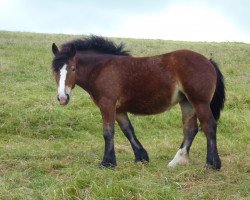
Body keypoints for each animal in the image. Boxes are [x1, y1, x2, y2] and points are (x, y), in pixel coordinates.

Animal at [50, 35, 225, 169]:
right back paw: (177, 161)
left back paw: (212, 164)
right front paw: (141, 157)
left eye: (73, 69)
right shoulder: (119, 109)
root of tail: (208, 61)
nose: (63, 98)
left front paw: (107, 163)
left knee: (208, 126)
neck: (102, 69)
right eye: (55, 70)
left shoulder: (107, 104)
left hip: (200, 102)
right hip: (187, 103)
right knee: (190, 129)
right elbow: (128, 130)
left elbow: (108, 132)